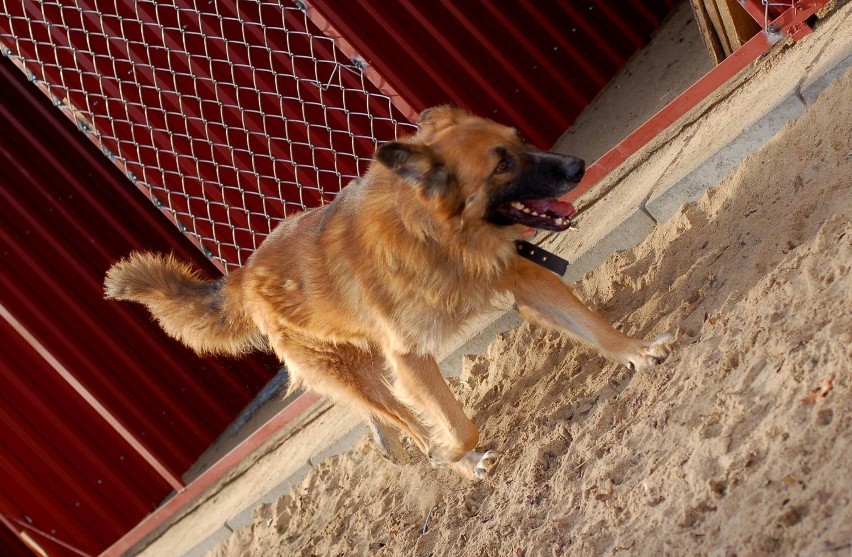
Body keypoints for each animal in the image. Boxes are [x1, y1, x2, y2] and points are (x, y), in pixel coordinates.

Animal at [105, 107, 672, 478]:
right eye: (502, 165)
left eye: (520, 142)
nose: (577, 166)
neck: (437, 237)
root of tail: (243, 275)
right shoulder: (409, 358)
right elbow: (456, 424)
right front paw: (457, 457)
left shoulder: (523, 276)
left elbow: (592, 326)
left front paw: (637, 351)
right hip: (359, 373)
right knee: (398, 415)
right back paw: (434, 453)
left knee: (379, 415)